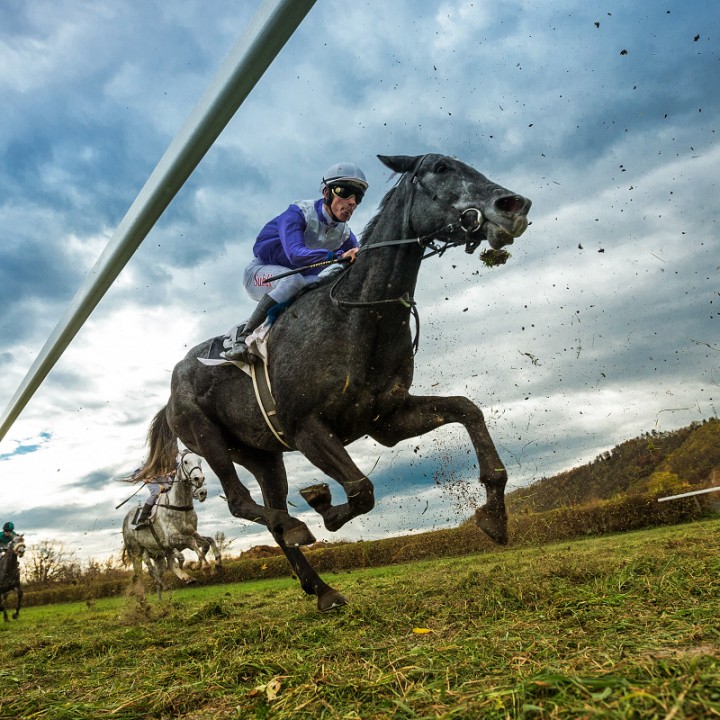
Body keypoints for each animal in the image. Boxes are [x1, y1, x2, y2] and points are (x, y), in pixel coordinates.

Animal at [122, 450, 221, 596]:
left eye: (200, 460)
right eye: (186, 461)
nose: (200, 482)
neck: (180, 506)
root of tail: (125, 520)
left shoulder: (190, 534)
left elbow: (208, 541)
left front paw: (213, 563)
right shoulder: (172, 539)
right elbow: (191, 543)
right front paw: (205, 567)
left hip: (159, 552)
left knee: (166, 565)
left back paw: (182, 579)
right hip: (137, 552)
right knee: (143, 571)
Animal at [139, 155, 528, 612]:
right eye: (440, 167)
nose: (513, 205)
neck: (359, 315)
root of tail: (169, 394)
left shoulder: (386, 419)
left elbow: (468, 409)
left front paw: (494, 517)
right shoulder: (307, 428)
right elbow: (362, 490)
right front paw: (323, 505)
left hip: (262, 455)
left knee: (270, 512)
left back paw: (321, 587)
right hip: (209, 438)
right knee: (242, 503)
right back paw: (296, 525)